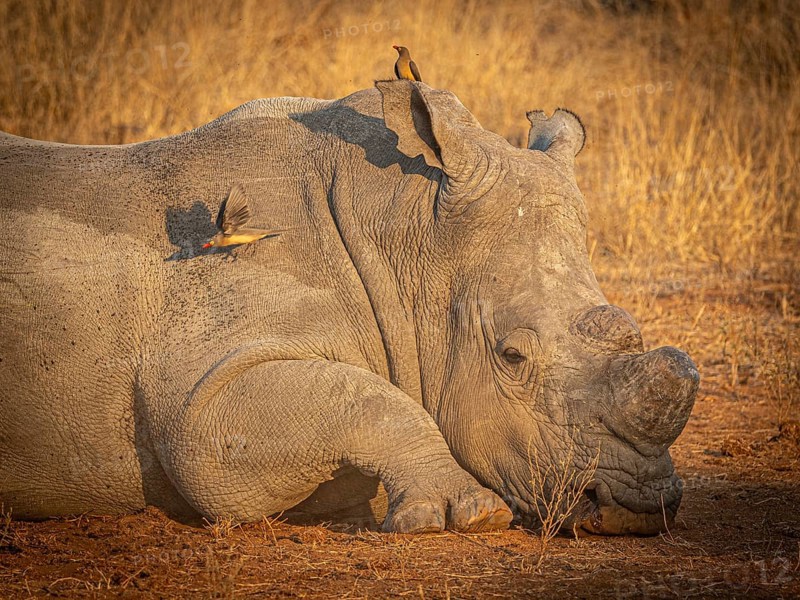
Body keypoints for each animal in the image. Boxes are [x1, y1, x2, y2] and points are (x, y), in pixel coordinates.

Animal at [0, 80, 698, 535]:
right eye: (511, 357)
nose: (640, 507)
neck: (403, 234)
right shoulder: (205, 394)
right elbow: (365, 401)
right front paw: (466, 514)